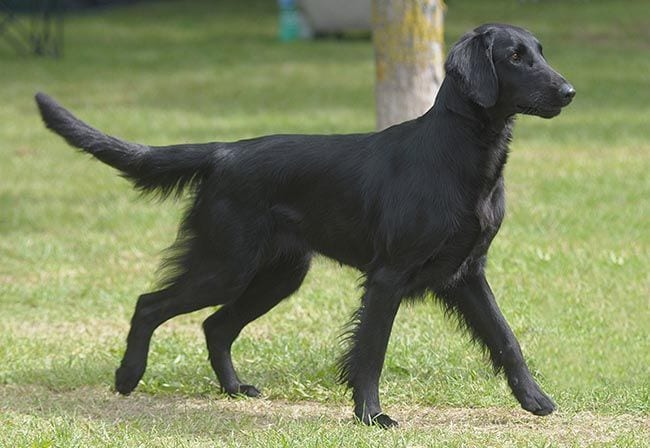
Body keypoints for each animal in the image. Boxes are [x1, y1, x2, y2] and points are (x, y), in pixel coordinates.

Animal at [35, 23, 572, 428]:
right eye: (515, 57)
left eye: (540, 53)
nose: (569, 91)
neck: (460, 154)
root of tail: (223, 152)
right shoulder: (388, 276)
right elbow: (371, 351)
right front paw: (372, 417)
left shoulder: (467, 272)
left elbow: (506, 338)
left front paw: (536, 401)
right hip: (225, 265)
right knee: (150, 304)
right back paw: (127, 377)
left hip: (279, 275)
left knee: (215, 325)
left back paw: (234, 389)